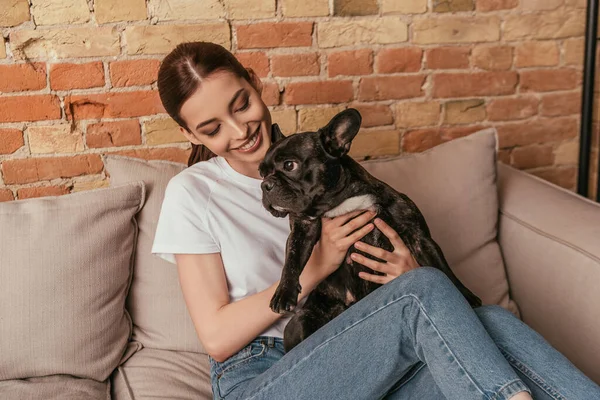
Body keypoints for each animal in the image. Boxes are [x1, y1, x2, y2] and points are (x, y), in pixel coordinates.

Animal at [258, 108, 482, 350]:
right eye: (261, 173)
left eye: (290, 165)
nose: (265, 184)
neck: (338, 202)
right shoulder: (303, 229)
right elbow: (291, 260)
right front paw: (284, 292)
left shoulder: (420, 237)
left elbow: (443, 269)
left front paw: (467, 297)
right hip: (301, 321)